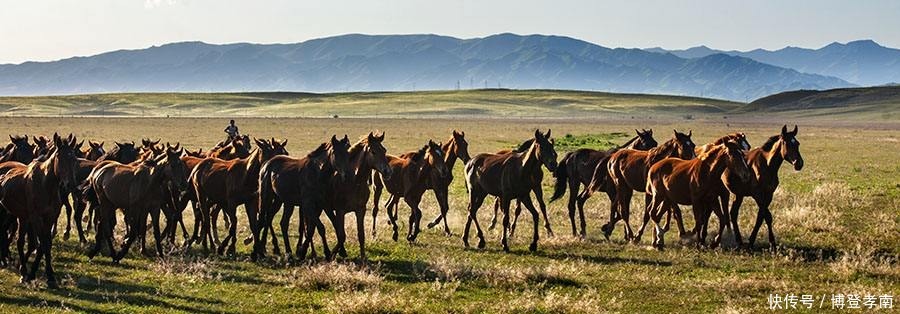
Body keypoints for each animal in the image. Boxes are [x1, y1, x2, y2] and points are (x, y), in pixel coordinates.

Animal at [0, 132, 79, 288]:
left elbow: (45, 244)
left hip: (17, 216)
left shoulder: (50, 217)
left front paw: (48, 277)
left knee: (16, 239)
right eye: (59, 157)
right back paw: (20, 270)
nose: (69, 185)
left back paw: (17, 266)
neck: (45, 185)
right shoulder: (36, 217)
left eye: (73, 158)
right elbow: (41, 242)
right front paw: (34, 274)